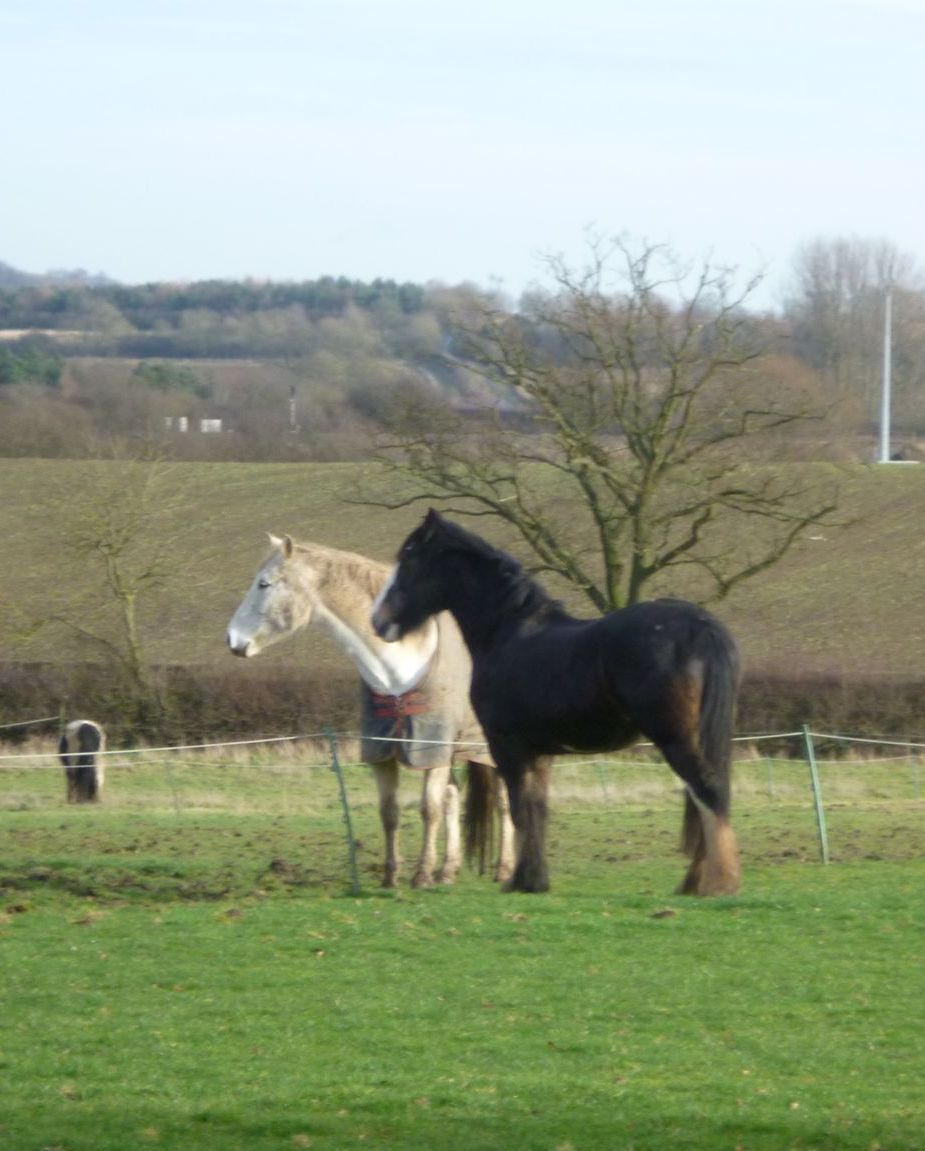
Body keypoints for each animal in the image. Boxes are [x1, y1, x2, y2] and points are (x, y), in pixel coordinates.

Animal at [227, 534, 514, 889]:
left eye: (264, 584)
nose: (233, 640)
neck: (398, 664)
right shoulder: (384, 751)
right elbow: (390, 812)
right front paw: (391, 876)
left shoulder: (430, 748)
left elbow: (429, 808)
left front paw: (421, 874)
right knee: (454, 798)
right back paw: (448, 870)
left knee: (503, 802)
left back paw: (505, 869)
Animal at [372, 509, 743, 897]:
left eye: (409, 560)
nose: (379, 622)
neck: (507, 632)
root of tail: (701, 625)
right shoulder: (540, 754)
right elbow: (538, 810)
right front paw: (535, 879)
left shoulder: (509, 749)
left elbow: (520, 810)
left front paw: (519, 880)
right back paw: (694, 883)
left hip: (676, 740)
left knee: (709, 791)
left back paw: (719, 883)